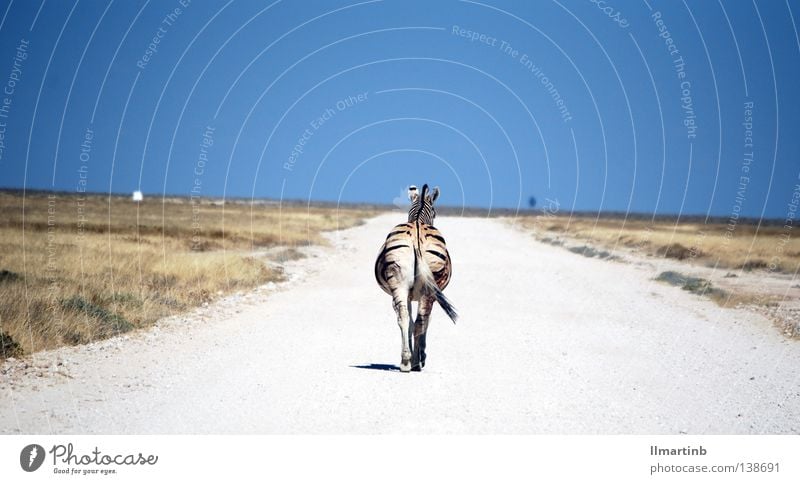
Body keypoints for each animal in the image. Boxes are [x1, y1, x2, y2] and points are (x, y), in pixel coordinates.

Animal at [376, 183, 456, 372]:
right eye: (435, 212)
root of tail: (417, 234)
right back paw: (416, 363)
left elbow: (410, 321)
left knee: (404, 318)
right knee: (421, 320)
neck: (419, 218)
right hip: (429, 289)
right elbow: (425, 321)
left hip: (399, 283)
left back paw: (406, 361)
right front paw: (421, 356)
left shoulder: (409, 294)